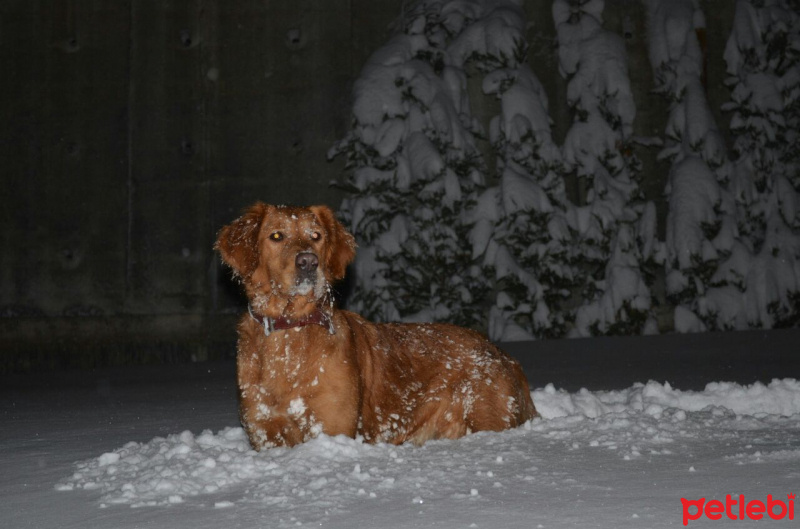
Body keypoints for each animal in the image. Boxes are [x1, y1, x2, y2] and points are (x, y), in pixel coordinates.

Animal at [216, 202, 536, 450]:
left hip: (486, 416)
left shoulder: (331, 428)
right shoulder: (265, 432)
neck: (291, 330)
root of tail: (505, 355)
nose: (308, 261)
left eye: (316, 236)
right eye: (276, 236)